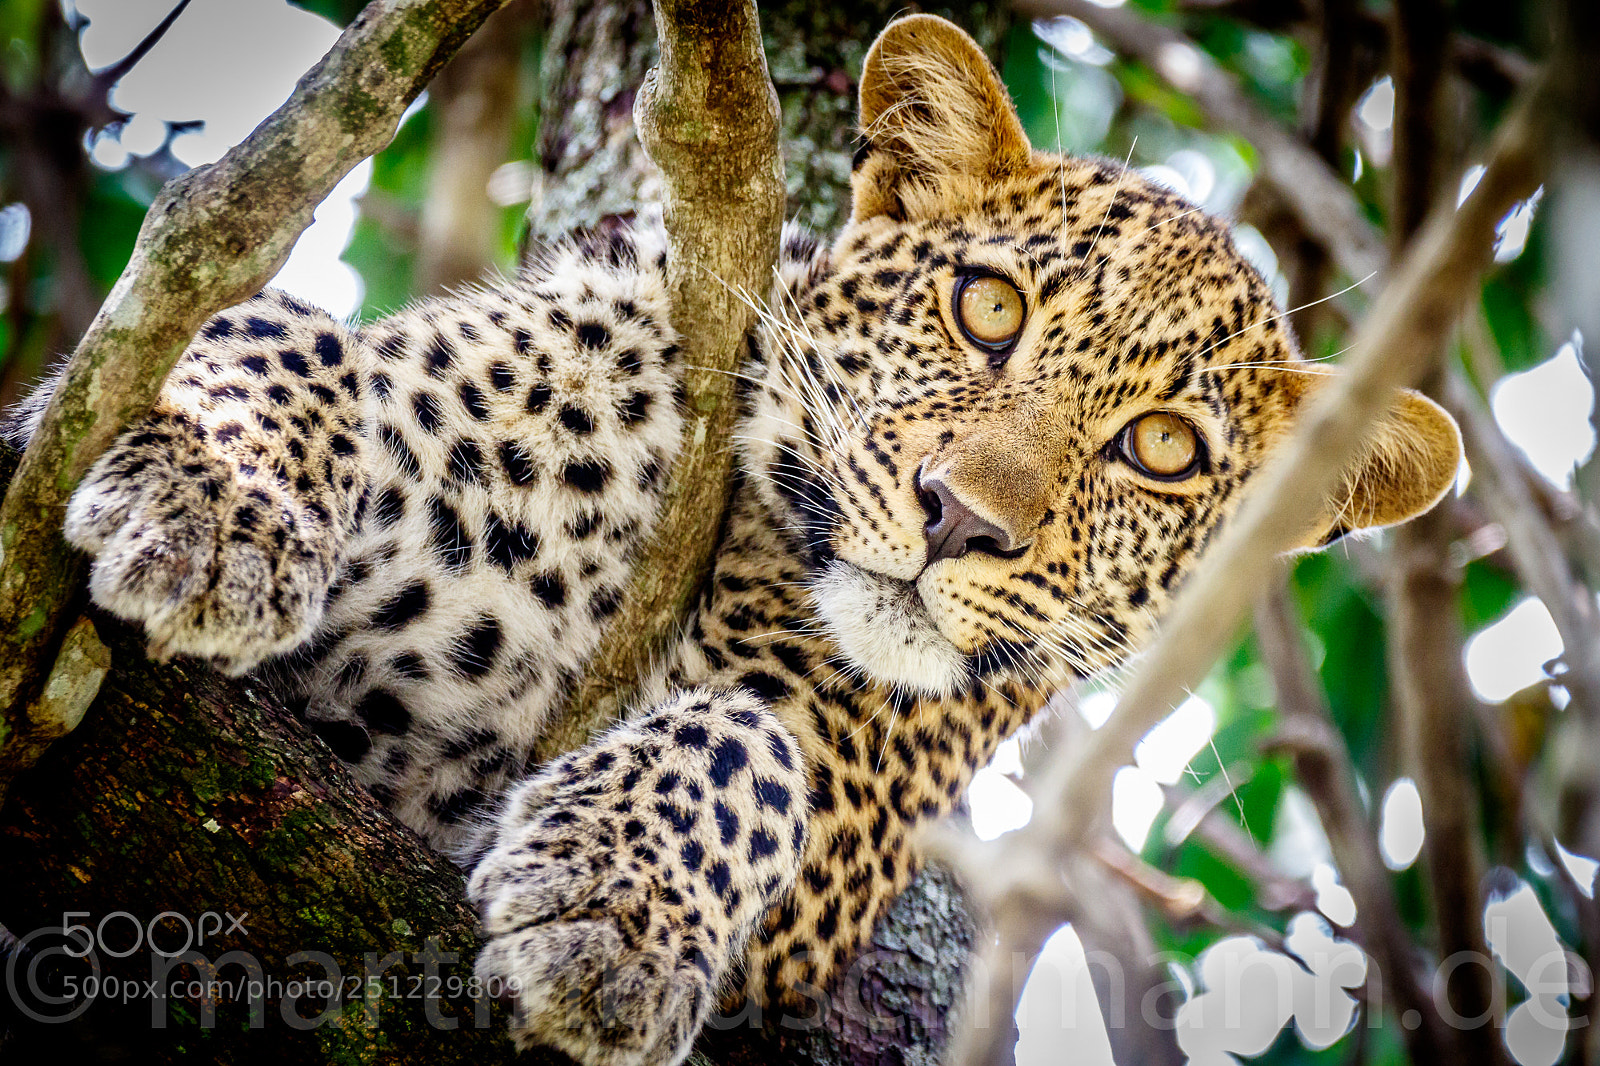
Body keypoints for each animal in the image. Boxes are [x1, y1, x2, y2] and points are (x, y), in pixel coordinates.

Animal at [8, 14, 1462, 1066]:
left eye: (1160, 449)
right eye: (987, 308)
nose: (960, 519)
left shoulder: (848, 843)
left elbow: (746, 737)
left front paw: (612, 915)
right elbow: (278, 329)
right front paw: (214, 500)